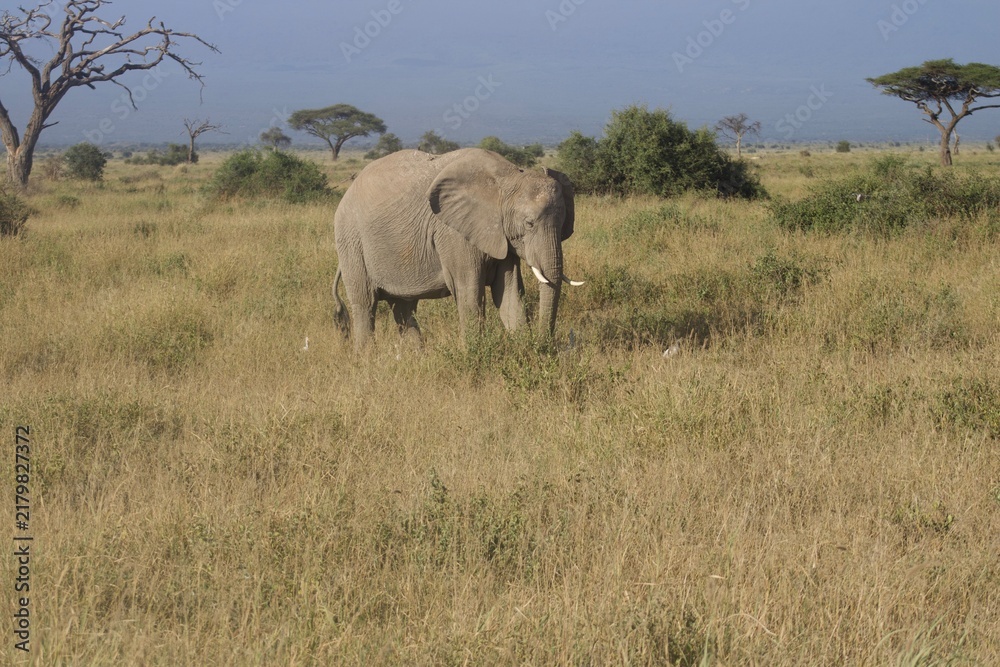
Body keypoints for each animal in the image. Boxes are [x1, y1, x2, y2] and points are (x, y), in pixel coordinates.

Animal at [332, 147, 581, 349]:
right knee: (365, 303)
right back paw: (365, 358)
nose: (544, 344)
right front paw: (473, 355)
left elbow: (509, 292)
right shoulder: (453, 233)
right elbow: (469, 292)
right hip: (351, 240)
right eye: (529, 224)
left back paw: (416, 357)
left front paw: (525, 352)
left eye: (563, 225)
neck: (506, 178)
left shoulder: (501, 236)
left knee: (404, 308)